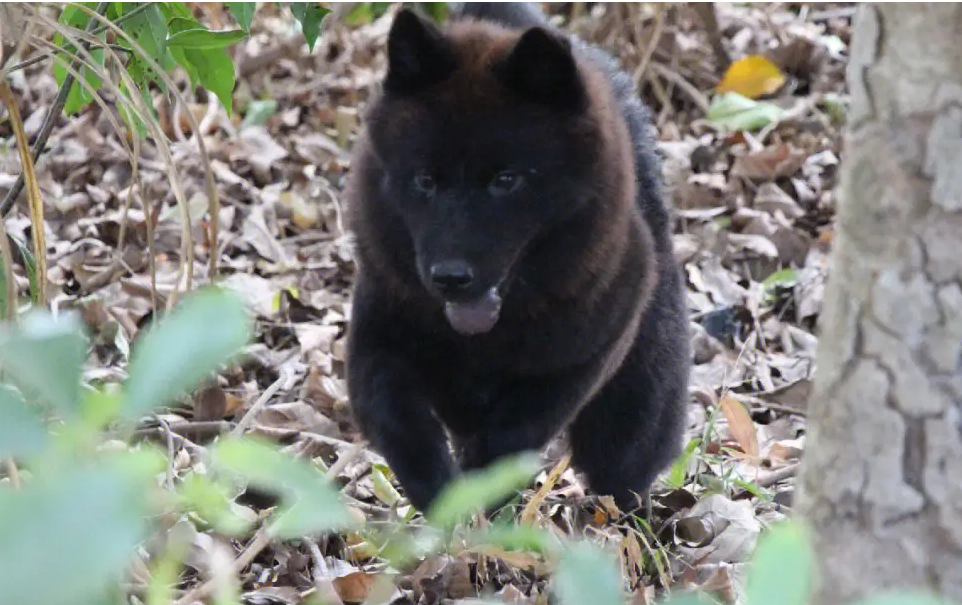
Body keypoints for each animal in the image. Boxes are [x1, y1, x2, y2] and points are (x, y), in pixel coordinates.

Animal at [344, 2, 690, 513]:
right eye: (424, 180)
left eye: (506, 180)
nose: (450, 276)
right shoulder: (378, 346)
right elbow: (404, 430)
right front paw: (444, 499)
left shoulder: (579, 360)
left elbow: (514, 433)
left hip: (634, 411)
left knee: (621, 468)